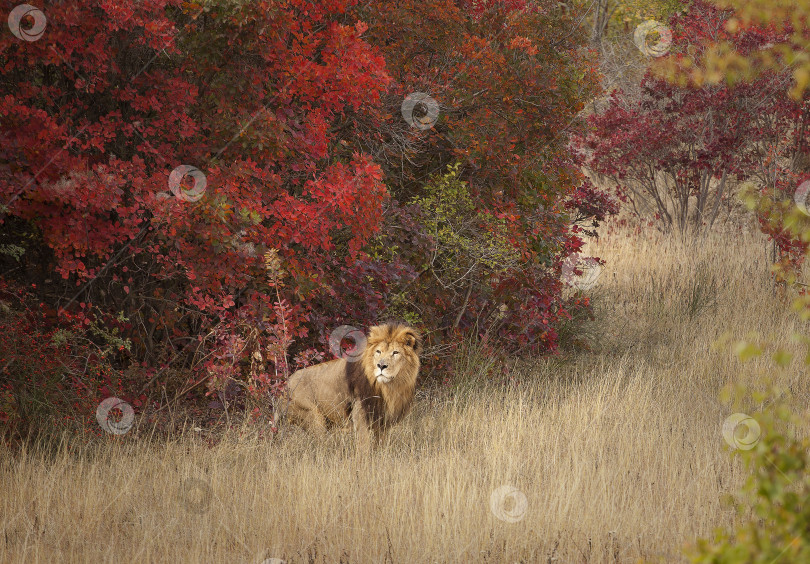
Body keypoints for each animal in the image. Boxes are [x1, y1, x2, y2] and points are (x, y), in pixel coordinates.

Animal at [274, 322, 420, 450]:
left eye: (395, 352)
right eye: (378, 351)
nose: (381, 365)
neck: (389, 387)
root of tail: (284, 386)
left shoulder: (383, 422)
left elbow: (380, 446)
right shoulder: (360, 414)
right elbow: (363, 447)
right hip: (313, 417)